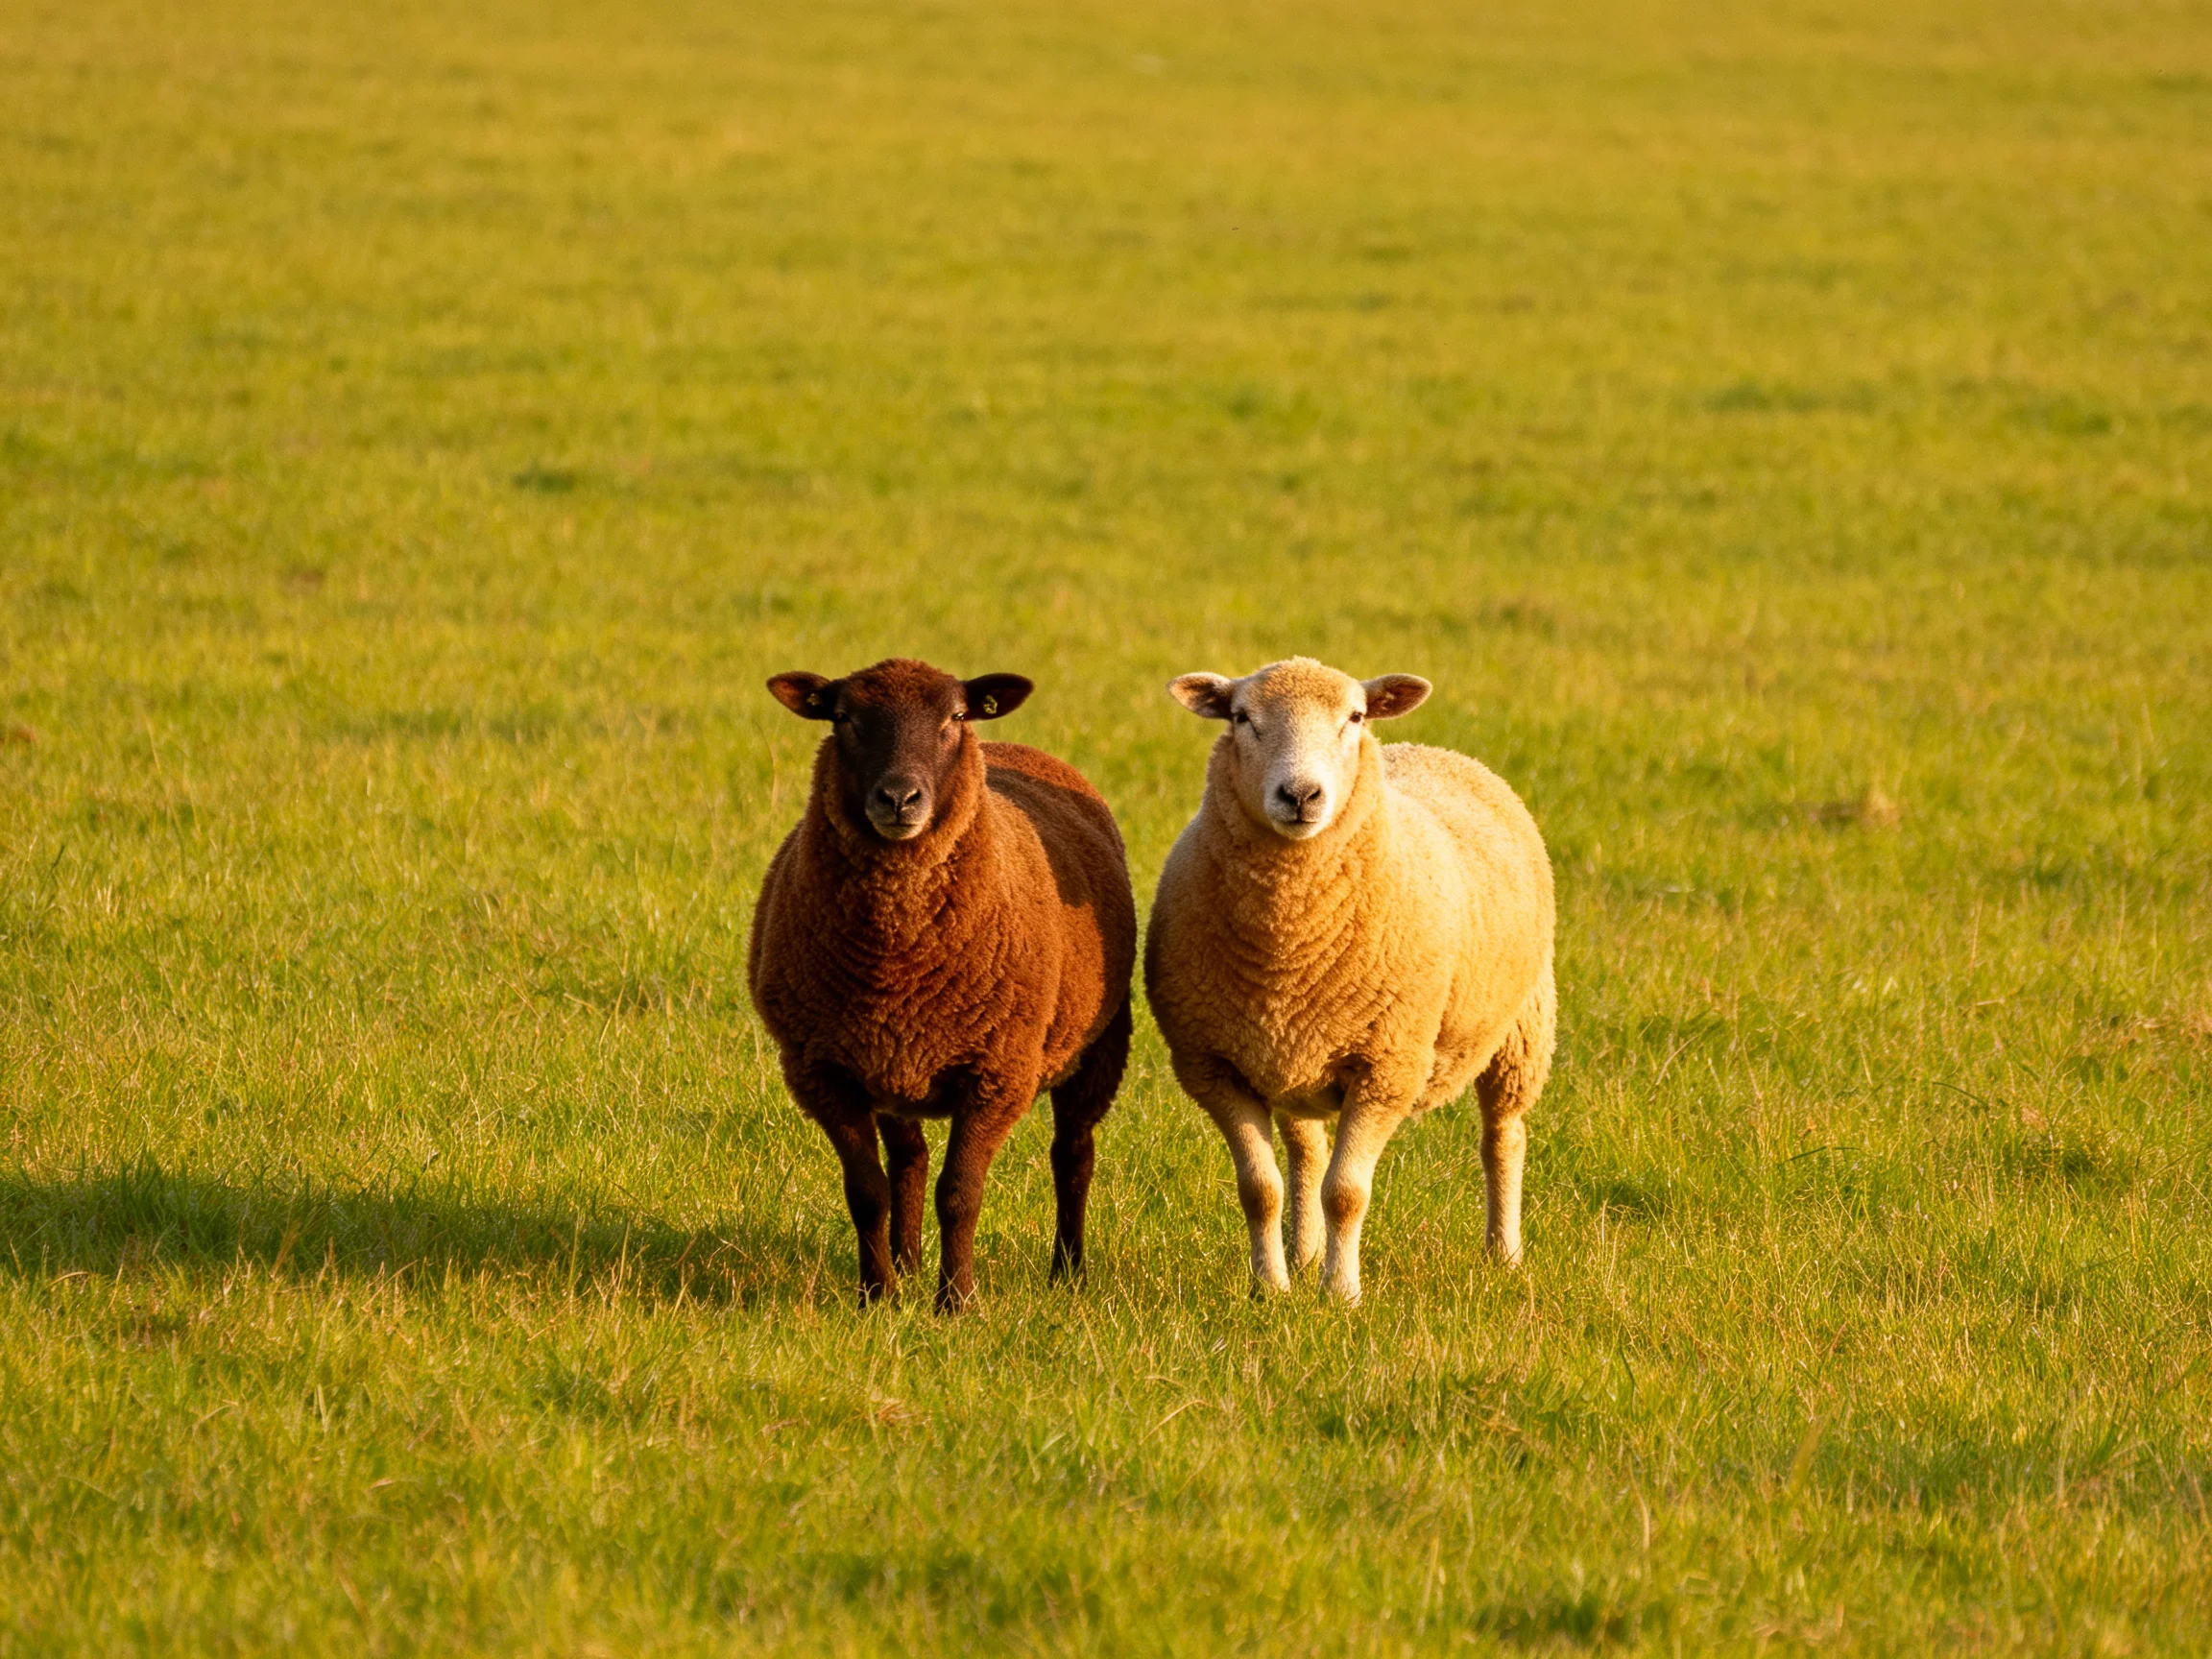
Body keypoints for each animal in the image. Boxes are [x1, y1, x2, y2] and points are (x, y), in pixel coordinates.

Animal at [748, 657, 1137, 1311]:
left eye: (954, 717)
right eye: (843, 717)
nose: (899, 798)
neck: (894, 958)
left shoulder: (998, 1072)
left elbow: (959, 1194)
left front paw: (956, 1302)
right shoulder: (823, 1071)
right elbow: (867, 1192)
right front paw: (876, 1297)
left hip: (1099, 1046)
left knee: (1073, 1157)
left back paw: (1068, 1272)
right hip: (891, 1064)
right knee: (910, 1159)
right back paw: (905, 1265)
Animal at [1143, 656, 1555, 1302]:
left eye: (1355, 717)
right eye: (1241, 717)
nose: (1301, 795)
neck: (1288, 941)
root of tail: (1433, 749)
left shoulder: (1387, 1067)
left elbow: (1347, 1192)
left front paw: (1341, 1295)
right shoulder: (1215, 1067)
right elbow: (1260, 1190)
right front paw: (1271, 1291)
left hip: (1523, 1025)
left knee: (1503, 1137)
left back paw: (1503, 1254)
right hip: (1293, 1060)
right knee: (1306, 1152)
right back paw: (1303, 1253)